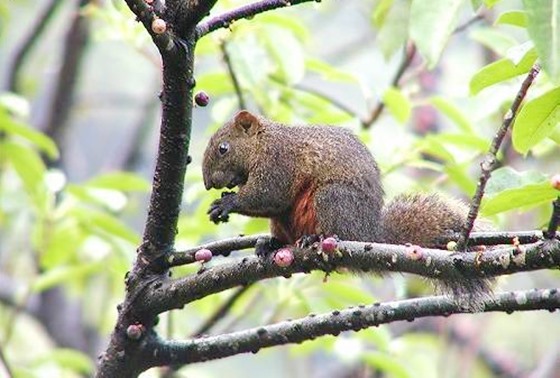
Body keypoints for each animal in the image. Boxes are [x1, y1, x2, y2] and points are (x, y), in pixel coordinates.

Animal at [202, 110, 490, 302]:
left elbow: (268, 196)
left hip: (332, 199)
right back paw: (271, 243)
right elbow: (272, 203)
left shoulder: (278, 162)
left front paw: (227, 202)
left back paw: (313, 239)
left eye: (223, 148)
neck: (262, 143)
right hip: (285, 220)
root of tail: (369, 234)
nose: (207, 183)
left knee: (336, 231)